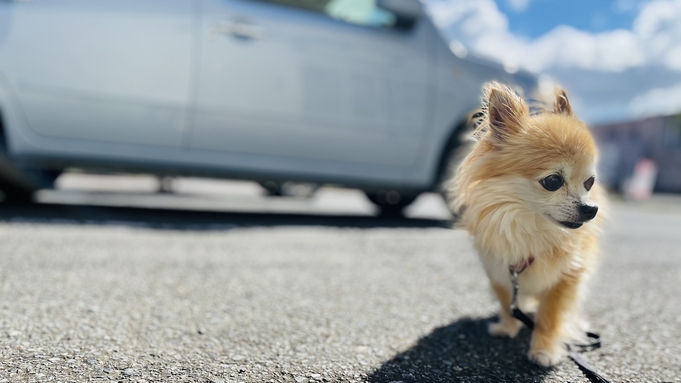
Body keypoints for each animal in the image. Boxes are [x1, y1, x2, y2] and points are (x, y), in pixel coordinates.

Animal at [446, 82, 604, 368]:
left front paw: (544, 350)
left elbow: (550, 317)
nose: (591, 209)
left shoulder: (566, 277)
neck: (529, 226)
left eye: (590, 183)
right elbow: (507, 302)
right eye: (553, 181)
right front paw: (507, 327)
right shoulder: (500, 270)